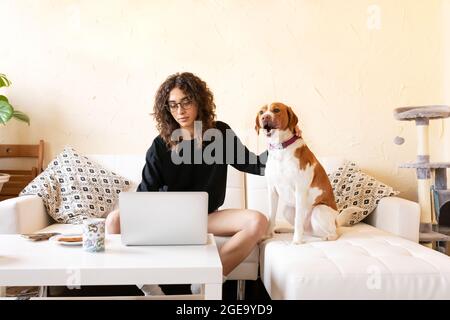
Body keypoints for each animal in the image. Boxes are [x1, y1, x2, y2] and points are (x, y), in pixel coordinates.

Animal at [255, 102, 342, 245]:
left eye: (276, 110)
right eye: (261, 112)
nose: (265, 118)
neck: (280, 148)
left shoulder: (300, 190)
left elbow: (298, 220)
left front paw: (297, 241)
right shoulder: (272, 190)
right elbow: (271, 216)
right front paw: (266, 235)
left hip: (319, 210)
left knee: (334, 233)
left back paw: (328, 237)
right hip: (288, 209)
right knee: (305, 229)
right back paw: (286, 230)